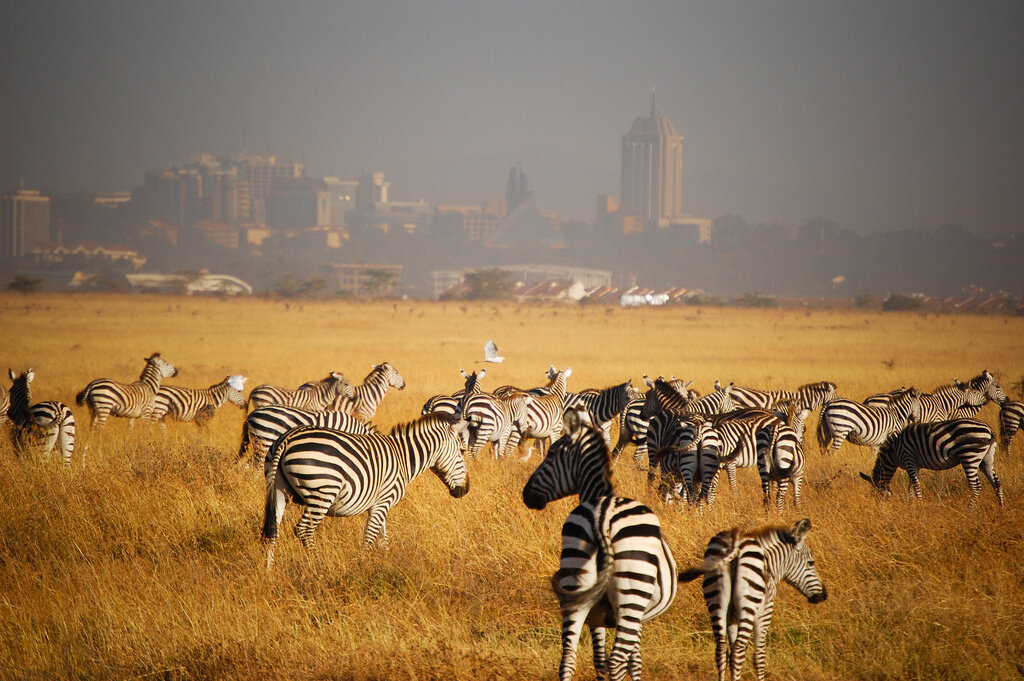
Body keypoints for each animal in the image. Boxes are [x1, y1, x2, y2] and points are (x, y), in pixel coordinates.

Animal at [264, 409, 471, 561]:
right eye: (462, 450)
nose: (466, 490)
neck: (403, 458)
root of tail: (288, 438)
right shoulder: (383, 501)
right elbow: (370, 538)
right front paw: (361, 567)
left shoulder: (378, 504)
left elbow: (382, 538)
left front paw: (386, 563)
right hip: (322, 493)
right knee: (304, 530)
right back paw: (319, 566)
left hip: (278, 489)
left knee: (273, 531)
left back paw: (269, 572)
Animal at [520, 409, 679, 679]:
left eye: (551, 455)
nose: (526, 495)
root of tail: (603, 516)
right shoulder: (636, 617)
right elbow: (634, 662)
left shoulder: (597, 615)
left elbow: (599, 658)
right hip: (631, 595)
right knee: (616, 662)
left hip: (576, 583)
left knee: (567, 659)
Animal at [679, 518, 831, 679]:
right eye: (811, 563)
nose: (823, 595)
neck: (770, 563)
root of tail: (735, 543)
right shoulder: (765, 611)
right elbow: (759, 656)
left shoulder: (732, 617)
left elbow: (730, 651)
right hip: (749, 604)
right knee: (739, 651)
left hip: (716, 600)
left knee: (721, 649)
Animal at [860, 417, 1003, 507]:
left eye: (877, 496)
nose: (881, 508)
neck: (894, 451)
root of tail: (989, 430)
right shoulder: (912, 465)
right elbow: (911, 487)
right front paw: (911, 506)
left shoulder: (909, 459)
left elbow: (916, 486)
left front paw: (919, 507)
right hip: (986, 459)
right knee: (997, 484)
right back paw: (1000, 509)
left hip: (969, 456)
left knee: (975, 486)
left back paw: (970, 510)